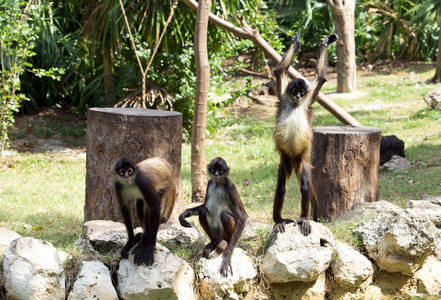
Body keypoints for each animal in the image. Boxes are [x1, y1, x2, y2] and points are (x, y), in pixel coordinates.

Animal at [272, 31, 336, 236]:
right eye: (294, 90)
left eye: (301, 91)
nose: (299, 95)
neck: (295, 104)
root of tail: (293, 160)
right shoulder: (283, 96)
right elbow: (279, 72)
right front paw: (297, 42)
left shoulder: (308, 99)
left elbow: (321, 77)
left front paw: (325, 43)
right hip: (285, 161)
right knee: (281, 187)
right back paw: (278, 219)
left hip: (302, 162)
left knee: (305, 186)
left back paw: (304, 218)